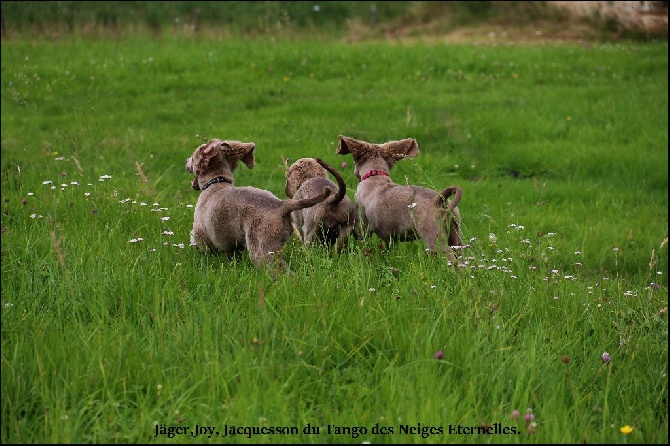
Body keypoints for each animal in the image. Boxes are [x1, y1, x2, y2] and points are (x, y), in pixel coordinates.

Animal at [185, 139, 332, 272]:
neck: (216, 182)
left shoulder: (199, 234)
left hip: (262, 246)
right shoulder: (234, 245)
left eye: (192, 158)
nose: (185, 161)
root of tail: (282, 205)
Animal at [334, 134, 464, 264]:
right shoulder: (389, 237)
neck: (376, 175)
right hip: (455, 234)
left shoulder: (362, 226)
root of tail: (439, 198)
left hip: (432, 233)